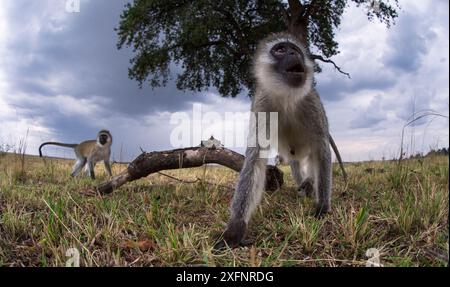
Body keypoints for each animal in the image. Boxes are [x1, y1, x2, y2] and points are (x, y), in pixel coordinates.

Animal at [216, 31, 346, 248]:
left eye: (295, 50)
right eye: (280, 49)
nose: (294, 54)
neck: (287, 97)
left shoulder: (312, 101)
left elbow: (322, 149)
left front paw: (322, 206)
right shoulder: (262, 103)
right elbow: (255, 157)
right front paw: (235, 227)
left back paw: (310, 185)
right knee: (294, 162)